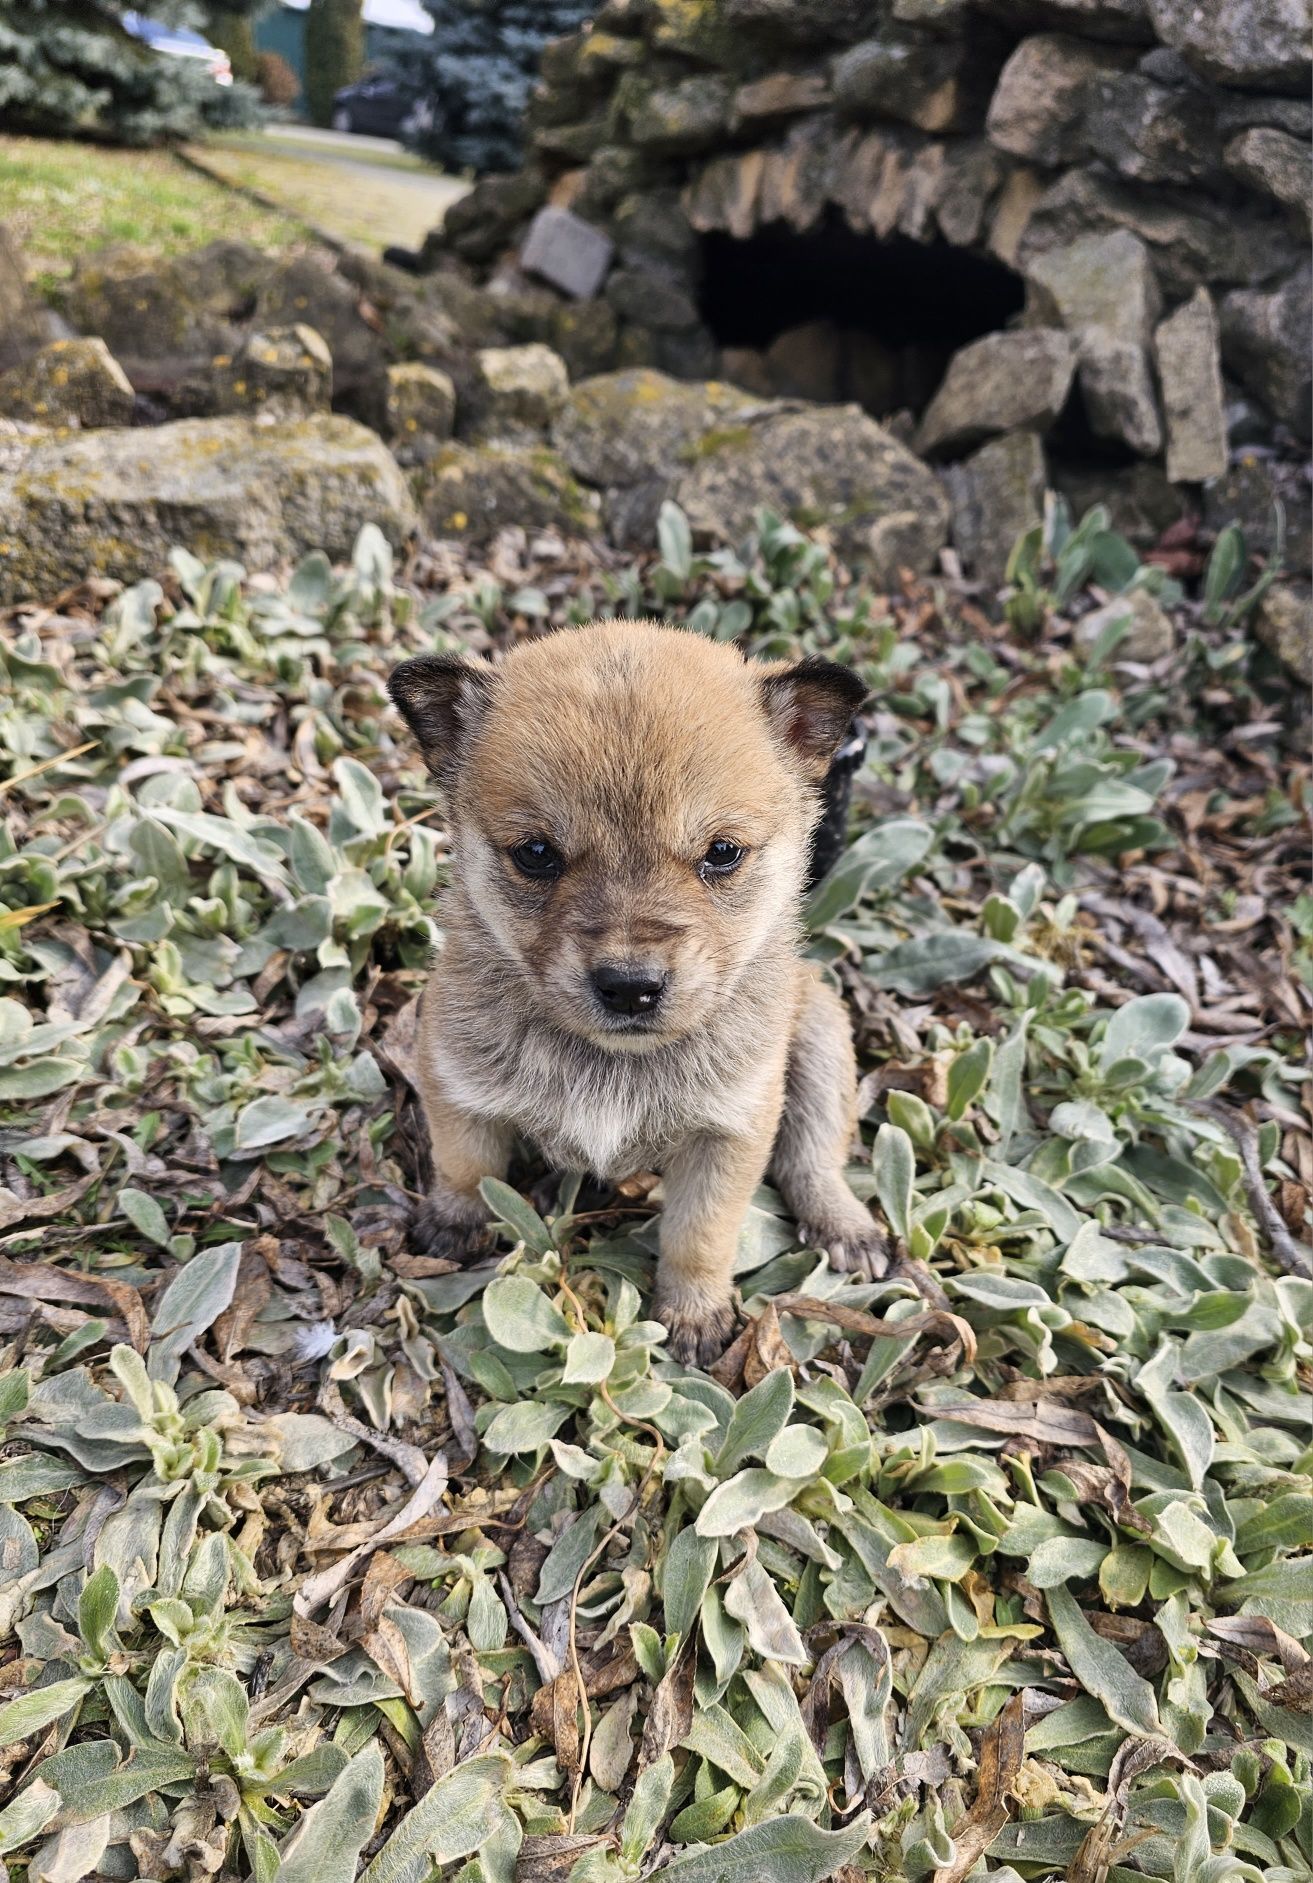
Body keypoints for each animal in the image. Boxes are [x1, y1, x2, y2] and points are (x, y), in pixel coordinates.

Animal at [384, 625, 885, 1363]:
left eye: (722, 852)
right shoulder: (455, 1077)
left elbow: (700, 1232)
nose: (630, 987)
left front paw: (694, 1313)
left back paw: (847, 1225)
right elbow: (466, 1163)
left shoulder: (729, 1134)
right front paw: (453, 1221)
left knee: (814, 1156)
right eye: (536, 852)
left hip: (820, 1039)